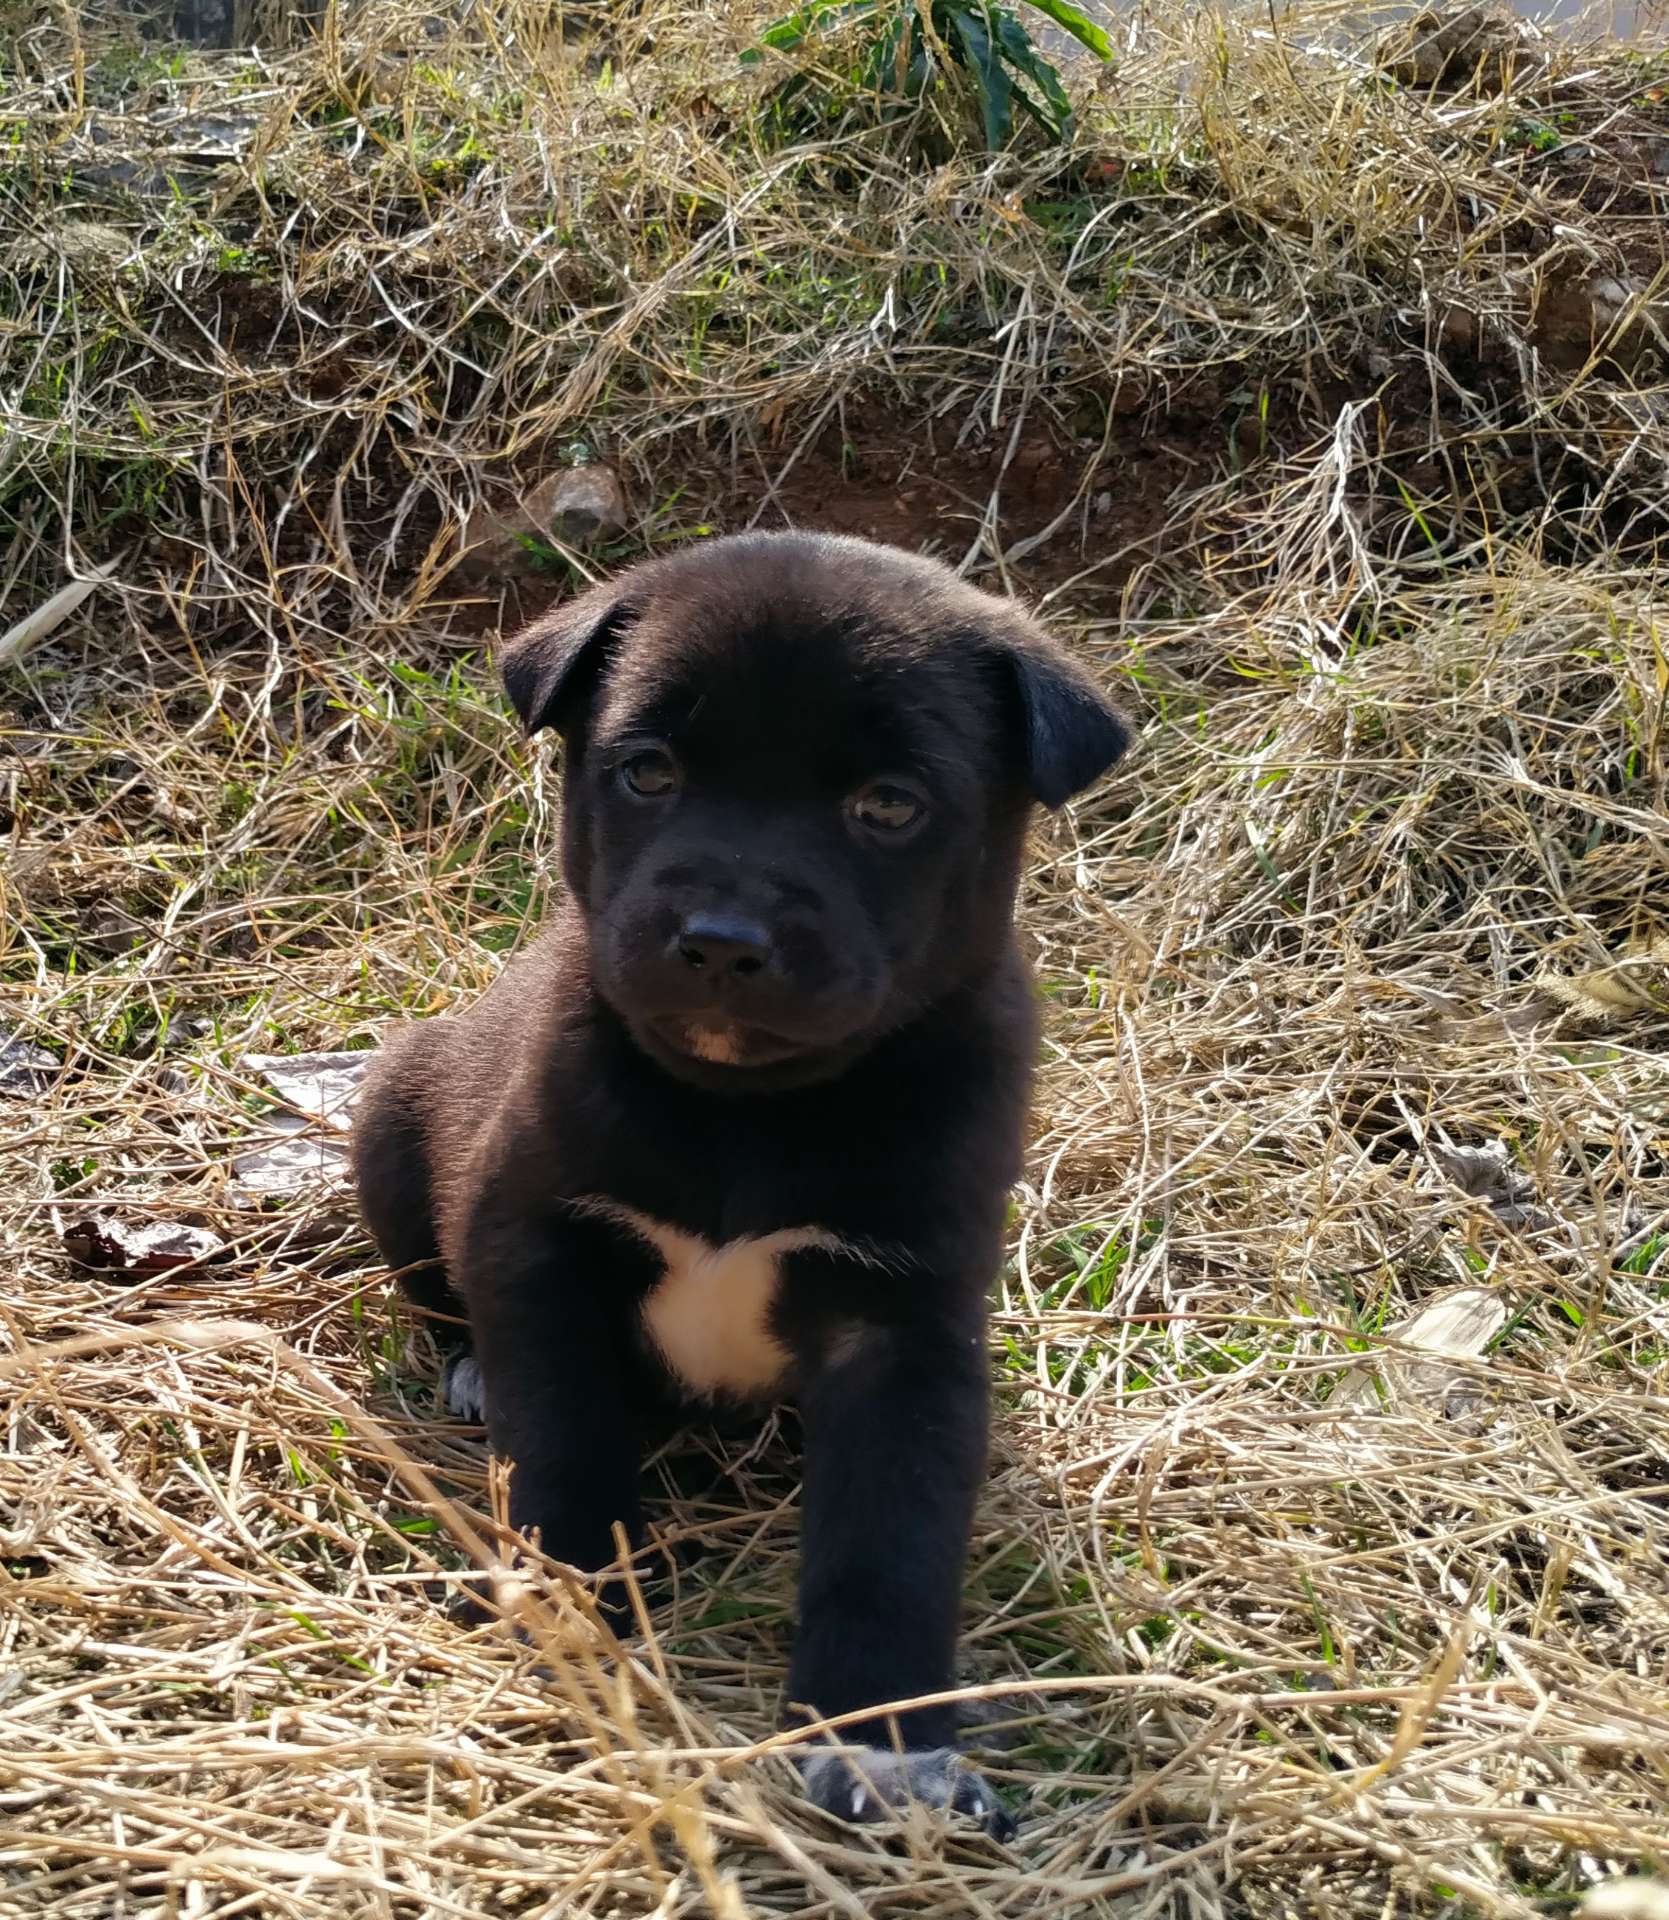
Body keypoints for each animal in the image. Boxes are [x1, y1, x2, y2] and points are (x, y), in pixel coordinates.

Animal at [357, 526, 1129, 1827]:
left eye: (888, 805)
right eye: (648, 772)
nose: (720, 943)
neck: (747, 1112)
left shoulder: (901, 1325)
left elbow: (889, 1542)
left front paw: (882, 1740)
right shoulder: (541, 1244)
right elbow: (562, 1441)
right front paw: (570, 1606)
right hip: (388, 1126)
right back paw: (465, 1371)